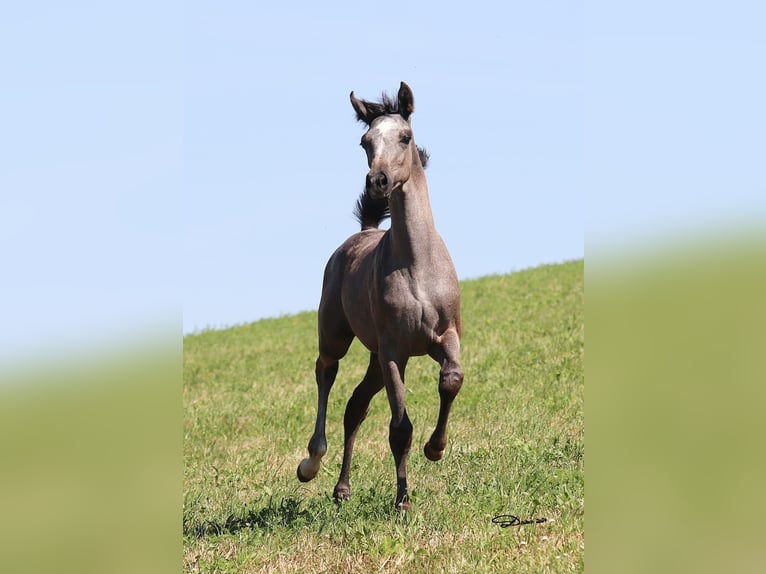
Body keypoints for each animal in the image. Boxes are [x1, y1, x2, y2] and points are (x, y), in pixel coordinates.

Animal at [298, 82, 468, 512]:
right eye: (365, 142)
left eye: (405, 137)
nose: (378, 181)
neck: (416, 266)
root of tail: (362, 233)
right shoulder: (395, 351)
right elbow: (400, 427)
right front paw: (403, 501)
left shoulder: (446, 337)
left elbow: (451, 380)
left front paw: (436, 449)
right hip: (338, 338)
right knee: (326, 373)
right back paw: (311, 463)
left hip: (375, 359)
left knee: (355, 406)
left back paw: (342, 489)